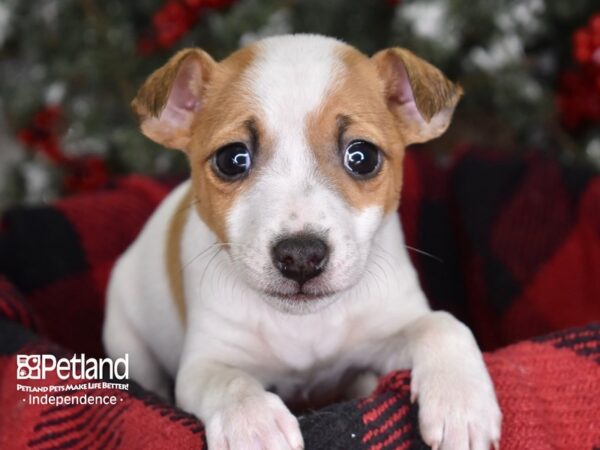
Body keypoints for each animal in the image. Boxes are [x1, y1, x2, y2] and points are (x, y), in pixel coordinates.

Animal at [103, 33, 502, 448]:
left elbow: (441, 325)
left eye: (362, 156)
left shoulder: (387, 327)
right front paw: (253, 423)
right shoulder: (206, 360)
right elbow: (230, 381)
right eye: (232, 159)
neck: (304, 326)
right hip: (127, 338)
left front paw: (461, 402)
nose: (301, 256)